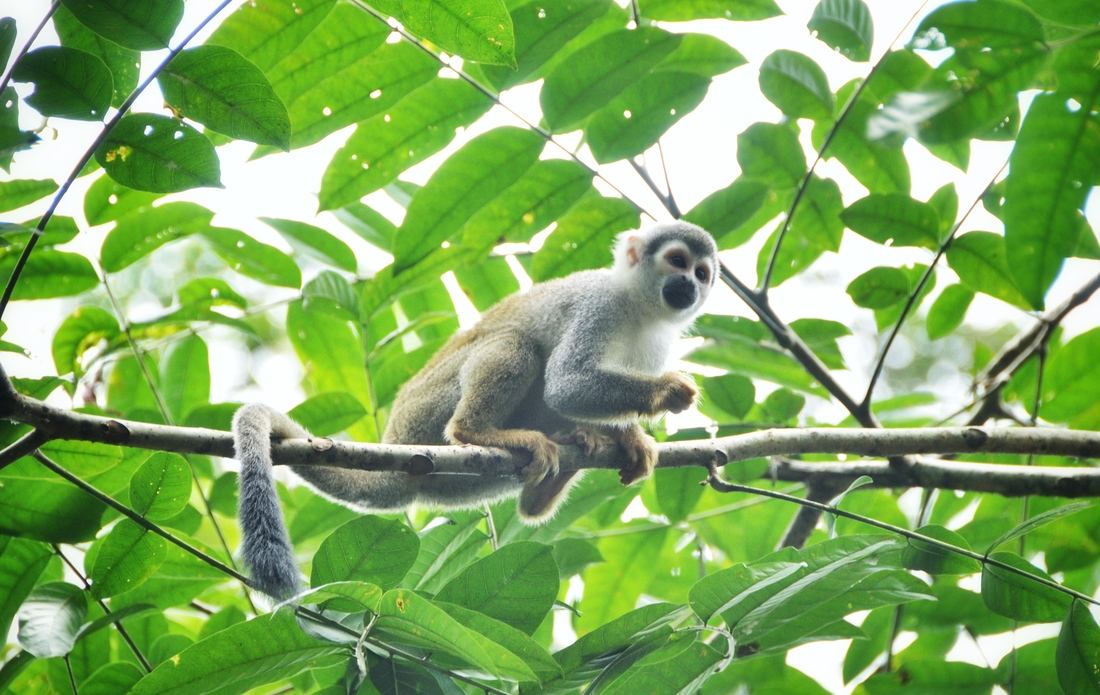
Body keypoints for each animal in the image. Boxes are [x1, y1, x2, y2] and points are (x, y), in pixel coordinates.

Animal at [234, 221, 719, 599]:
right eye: (677, 261)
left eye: (702, 272)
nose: (691, 286)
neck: (641, 309)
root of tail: (396, 445)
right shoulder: (599, 306)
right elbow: (566, 385)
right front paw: (666, 392)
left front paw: (628, 436)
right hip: (425, 414)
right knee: (516, 343)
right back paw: (476, 432)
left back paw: (552, 479)